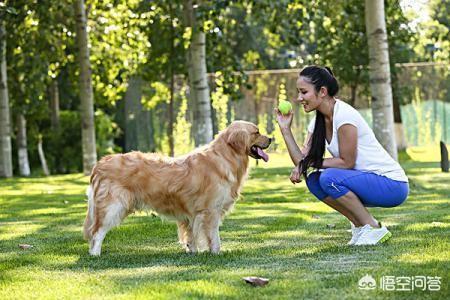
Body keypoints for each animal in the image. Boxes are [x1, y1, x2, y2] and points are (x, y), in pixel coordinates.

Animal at [83, 120, 270, 256]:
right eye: (257, 132)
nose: (271, 139)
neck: (225, 157)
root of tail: (99, 164)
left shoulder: (192, 213)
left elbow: (191, 235)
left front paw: (193, 251)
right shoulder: (211, 210)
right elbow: (214, 236)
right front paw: (217, 253)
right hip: (113, 207)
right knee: (97, 232)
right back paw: (95, 254)